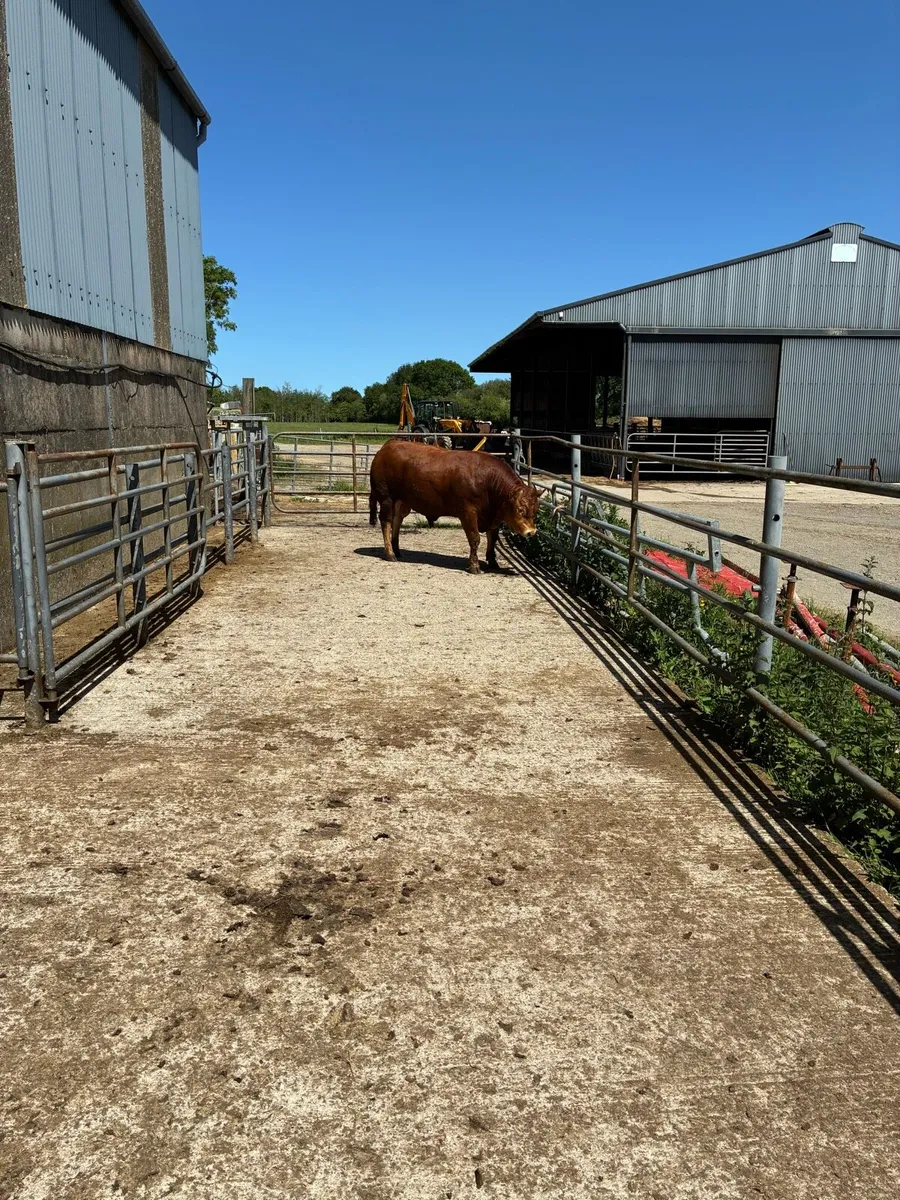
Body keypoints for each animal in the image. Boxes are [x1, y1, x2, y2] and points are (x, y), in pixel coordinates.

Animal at [368, 440, 540, 573]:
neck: (488, 480)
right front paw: (474, 566)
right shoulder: (468, 512)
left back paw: (396, 549)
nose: (531, 532)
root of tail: (387, 446)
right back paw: (390, 553)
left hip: (402, 501)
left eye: (536, 510)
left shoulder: (493, 516)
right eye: (520, 510)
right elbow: (475, 538)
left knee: (397, 521)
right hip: (386, 498)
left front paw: (493, 562)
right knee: (386, 522)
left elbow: (493, 539)